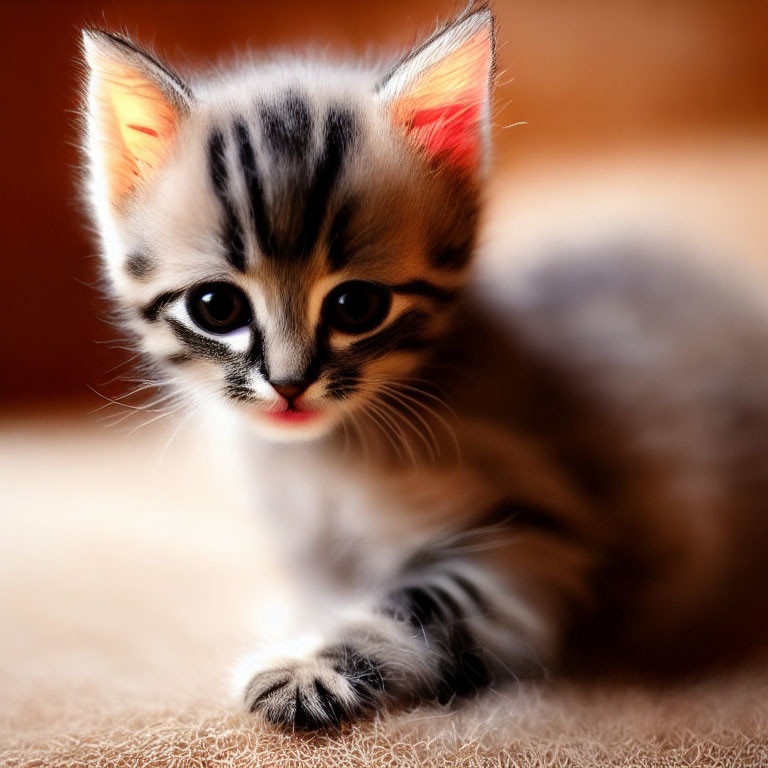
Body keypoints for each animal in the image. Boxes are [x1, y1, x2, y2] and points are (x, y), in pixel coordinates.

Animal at [81, 1, 768, 732]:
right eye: (217, 307)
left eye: (357, 306)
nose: (290, 386)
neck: (321, 464)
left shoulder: (542, 536)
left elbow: (423, 605)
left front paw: (309, 668)